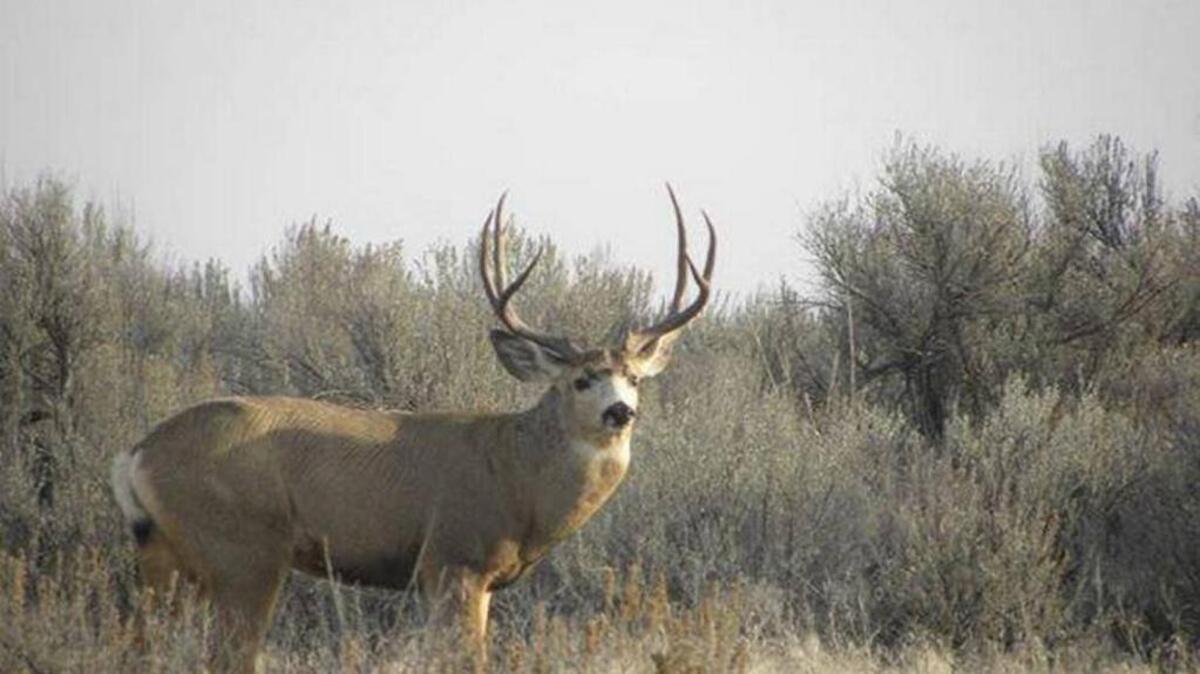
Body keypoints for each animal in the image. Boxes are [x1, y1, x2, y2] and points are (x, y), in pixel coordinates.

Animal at [110, 187, 715, 672]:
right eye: (581, 380)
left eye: (633, 377)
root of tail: (136, 453)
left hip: (163, 552)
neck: (518, 479)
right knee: (227, 653)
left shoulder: (475, 578)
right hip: (242, 549)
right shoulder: (453, 558)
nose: (620, 412)